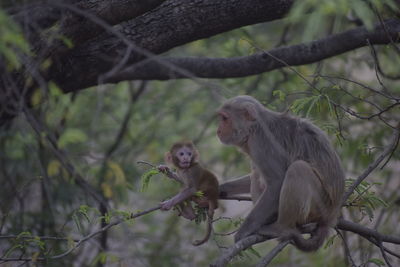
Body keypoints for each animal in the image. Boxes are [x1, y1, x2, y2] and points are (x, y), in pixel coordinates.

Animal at [217, 95, 346, 252]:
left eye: (225, 118)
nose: (218, 130)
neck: (254, 127)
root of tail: (331, 216)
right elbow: (256, 175)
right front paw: (218, 189)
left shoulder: (260, 144)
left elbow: (276, 181)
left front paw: (244, 231)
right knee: (257, 175)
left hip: (320, 206)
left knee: (298, 169)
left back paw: (280, 227)